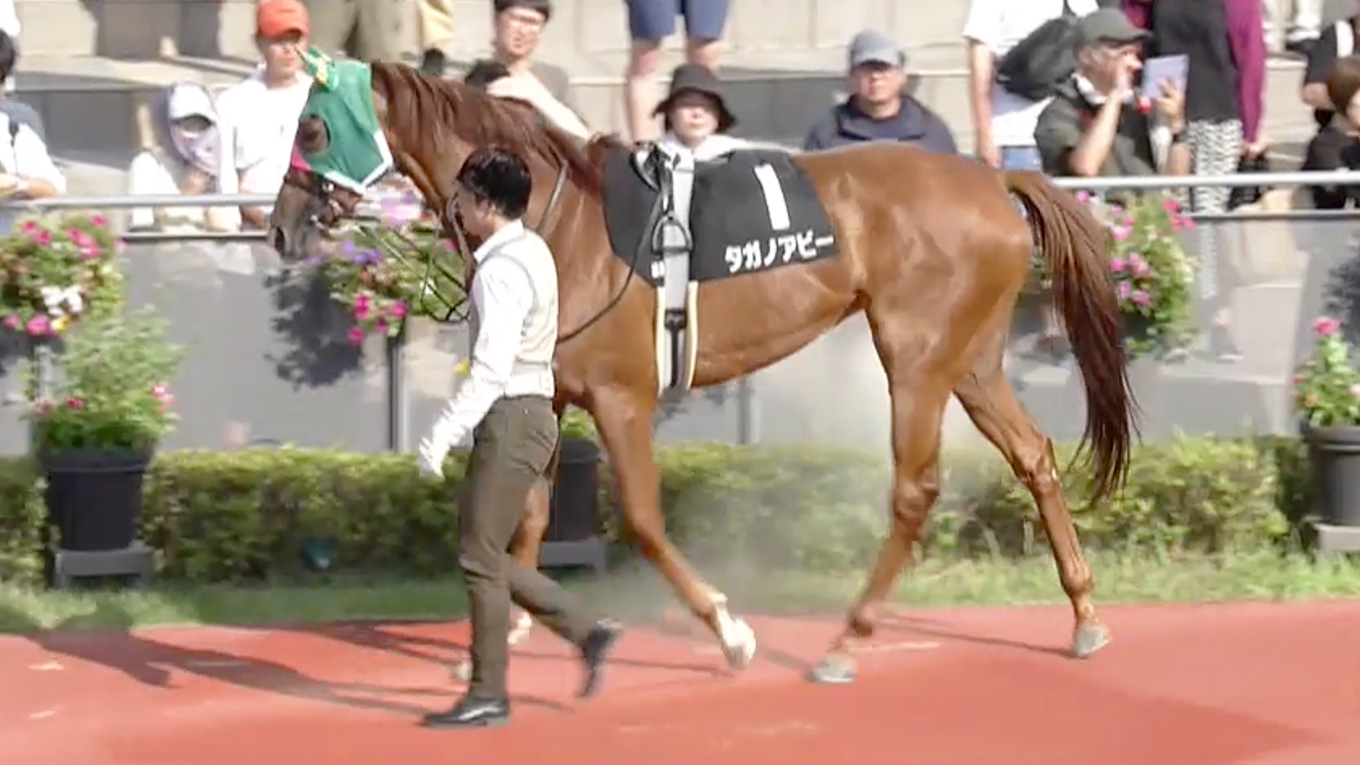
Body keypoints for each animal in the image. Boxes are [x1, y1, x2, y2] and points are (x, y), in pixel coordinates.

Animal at [267, 59, 1138, 684]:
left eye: (311, 127)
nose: (276, 226)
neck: (557, 218)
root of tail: (992, 177)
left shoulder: (621, 398)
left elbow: (645, 521)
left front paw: (730, 630)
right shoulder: (553, 388)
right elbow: (530, 516)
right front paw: (510, 623)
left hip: (917, 354)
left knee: (915, 487)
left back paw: (845, 640)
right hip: (972, 357)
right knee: (1033, 455)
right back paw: (1086, 613)